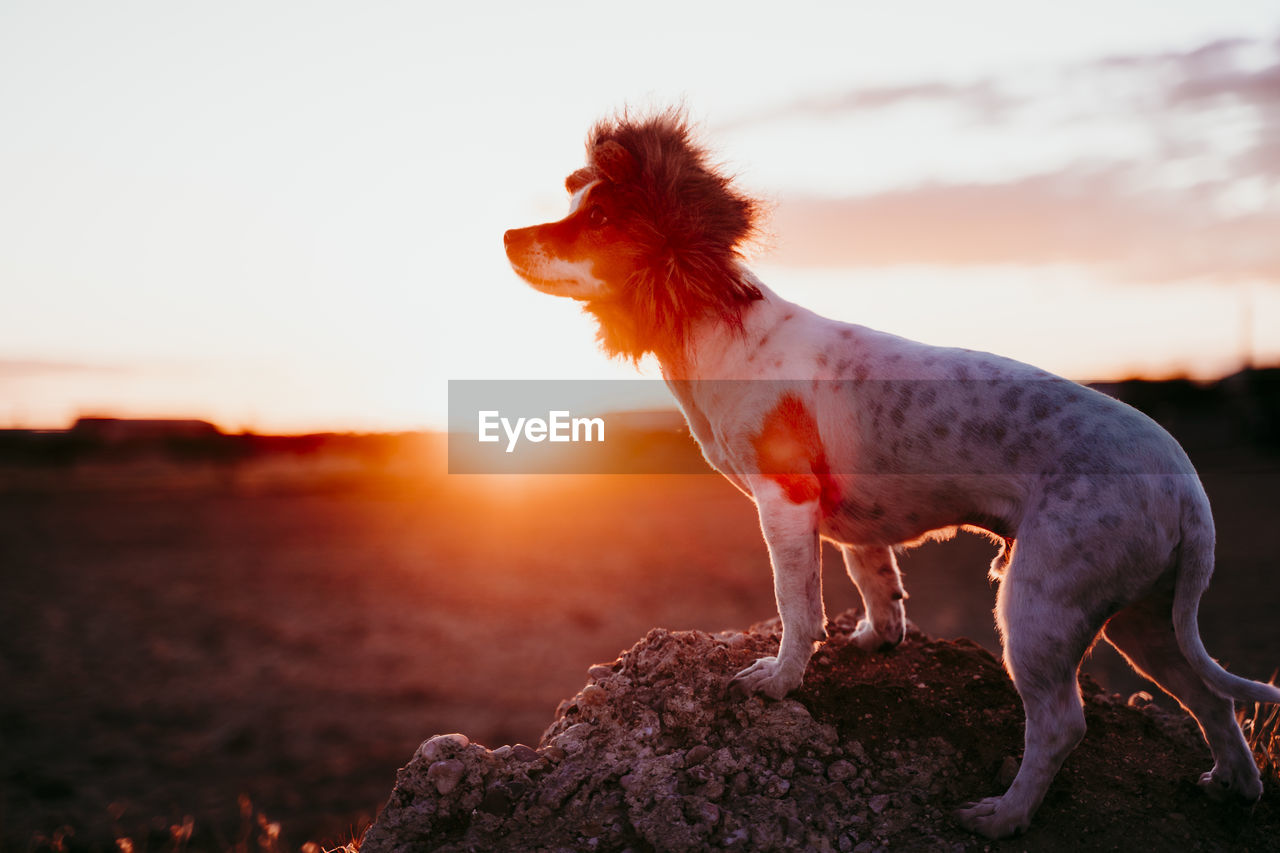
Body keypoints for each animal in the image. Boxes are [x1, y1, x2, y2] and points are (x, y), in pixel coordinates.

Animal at [501, 108, 1280, 835]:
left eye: (599, 218)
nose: (507, 236)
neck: (714, 324)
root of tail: (1185, 483)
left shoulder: (784, 501)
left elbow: (797, 606)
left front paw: (779, 680)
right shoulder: (849, 522)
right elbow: (873, 577)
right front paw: (879, 637)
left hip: (1040, 605)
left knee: (1063, 722)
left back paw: (1003, 816)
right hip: (1146, 615)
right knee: (1212, 699)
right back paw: (1233, 787)